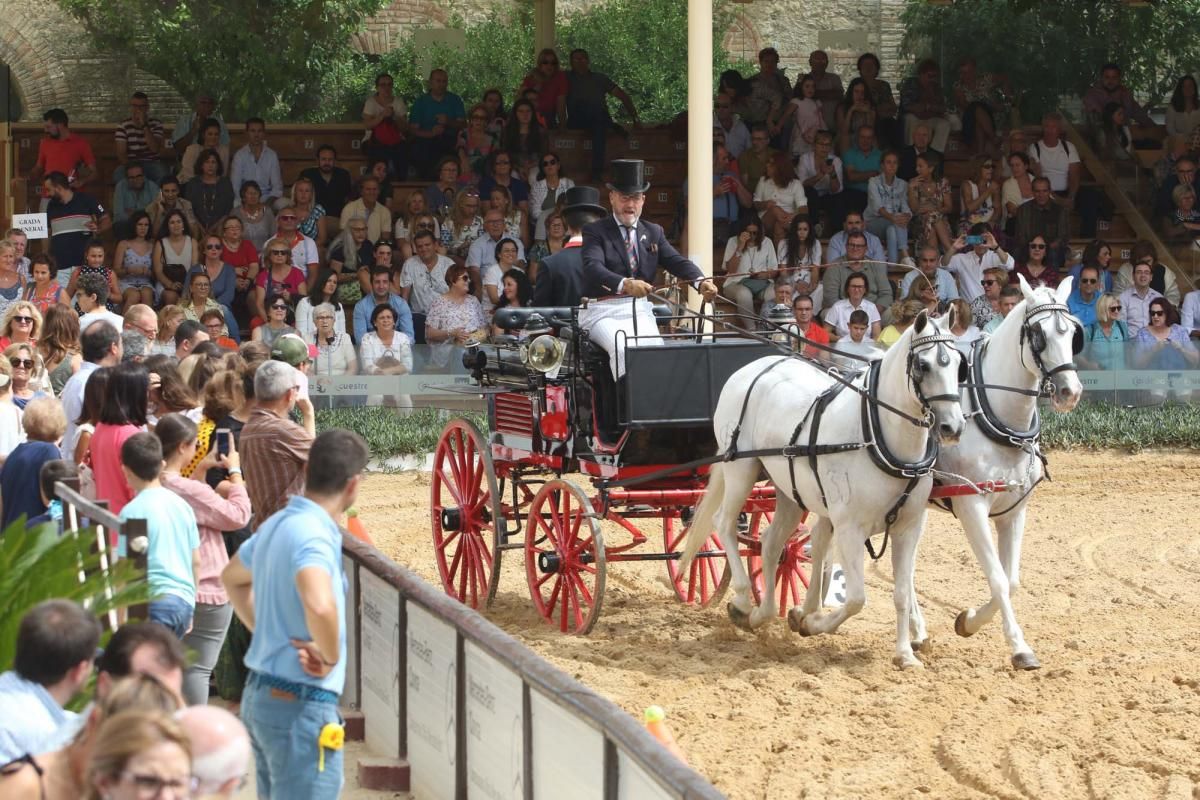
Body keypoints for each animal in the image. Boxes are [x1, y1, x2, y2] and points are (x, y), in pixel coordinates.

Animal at [686, 311, 964, 671]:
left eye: (958, 364)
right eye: (923, 365)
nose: (952, 427)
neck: (876, 435)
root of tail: (752, 368)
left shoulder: (909, 527)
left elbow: (902, 593)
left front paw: (905, 654)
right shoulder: (849, 528)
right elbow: (857, 598)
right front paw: (812, 622)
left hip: (787, 491)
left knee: (771, 543)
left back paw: (762, 614)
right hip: (740, 468)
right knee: (724, 524)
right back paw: (744, 601)